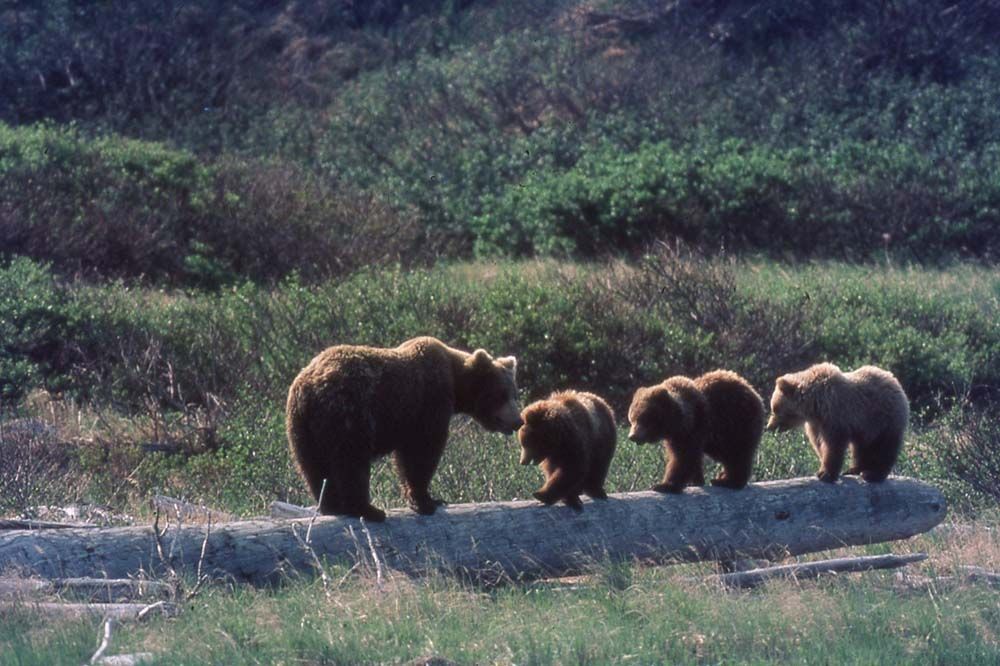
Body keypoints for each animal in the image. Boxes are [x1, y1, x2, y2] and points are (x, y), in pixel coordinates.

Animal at [285, 336, 523, 522]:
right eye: (500, 394)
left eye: (514, 393)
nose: (518, 421)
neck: (455, 383)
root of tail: (310, 386)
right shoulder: (429, 401)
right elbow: (422, 451)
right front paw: (426, 501)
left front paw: (431, 499)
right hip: (349, 412)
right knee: (351, 461)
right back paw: (368, 510)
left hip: (301, 426)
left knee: (312, 466)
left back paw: (331, 505)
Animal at [627, 370, 765, 493]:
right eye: (631, 419)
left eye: (642, 420)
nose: (632, 436)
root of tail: (755, 393)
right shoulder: (676, 437)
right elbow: (690, 457)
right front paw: (695, 480)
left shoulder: (694, 427)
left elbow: (683, 458)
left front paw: (664, 485)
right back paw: (722, 476)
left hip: (738, 423)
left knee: (738, 453)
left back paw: (728, 481)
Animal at [766, 362, 909, 483]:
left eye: (775, 409)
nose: (769, 427)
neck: (815, 406)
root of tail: (894, 380)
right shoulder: (816, 424)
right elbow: (819, 443)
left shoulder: (835, 415)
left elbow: (833, 445)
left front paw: (825, 474)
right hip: (866, 428)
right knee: (860, 447)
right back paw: (854, 469)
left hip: (884, 419)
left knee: (884, 447)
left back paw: (872, 474)